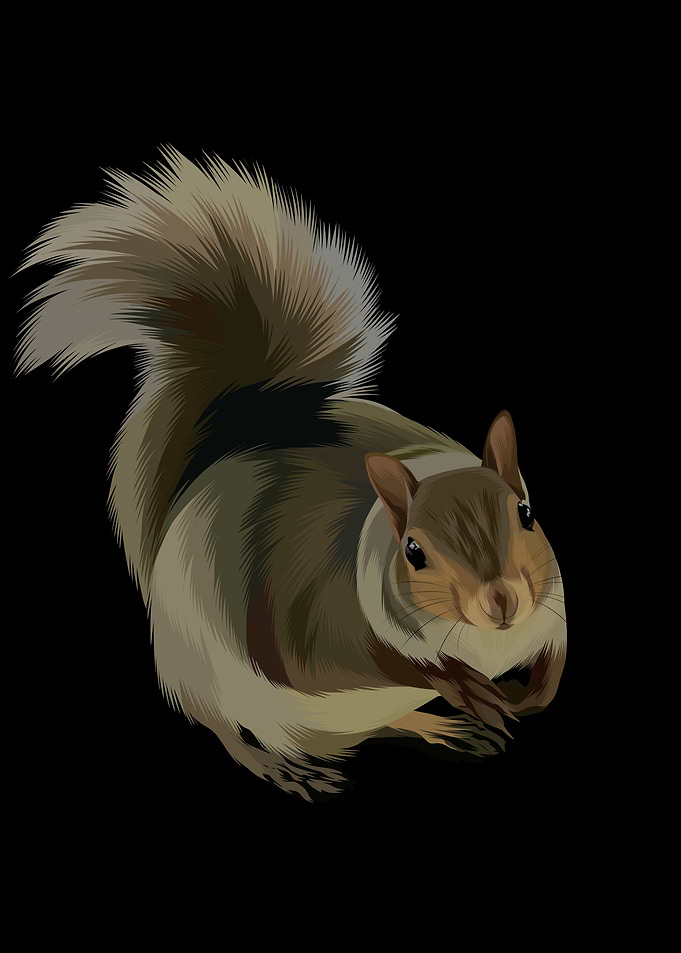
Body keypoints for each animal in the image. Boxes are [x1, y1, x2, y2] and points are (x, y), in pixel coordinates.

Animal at [13, 145, 566, 802]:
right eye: (413, 551)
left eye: (527, 514)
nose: (503, 600)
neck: (487, 642)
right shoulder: (316, 608)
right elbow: (334, 659)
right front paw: (457, 683)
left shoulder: (550, 610)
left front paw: (534, 692)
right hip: (206, 672)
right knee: (223, 726)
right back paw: (282, 767)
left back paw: (443, 730)